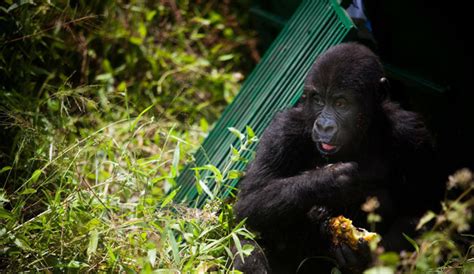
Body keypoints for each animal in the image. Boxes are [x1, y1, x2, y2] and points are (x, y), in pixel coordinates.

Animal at [231, 42, 442, 272]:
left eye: (341, 103)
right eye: (318, 100)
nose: (324, 126)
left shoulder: (412, 134)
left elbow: (422, 210)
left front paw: (365, 253)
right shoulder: (283, 129)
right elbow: (250, 200)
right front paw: (330, 180)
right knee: (248, 247)